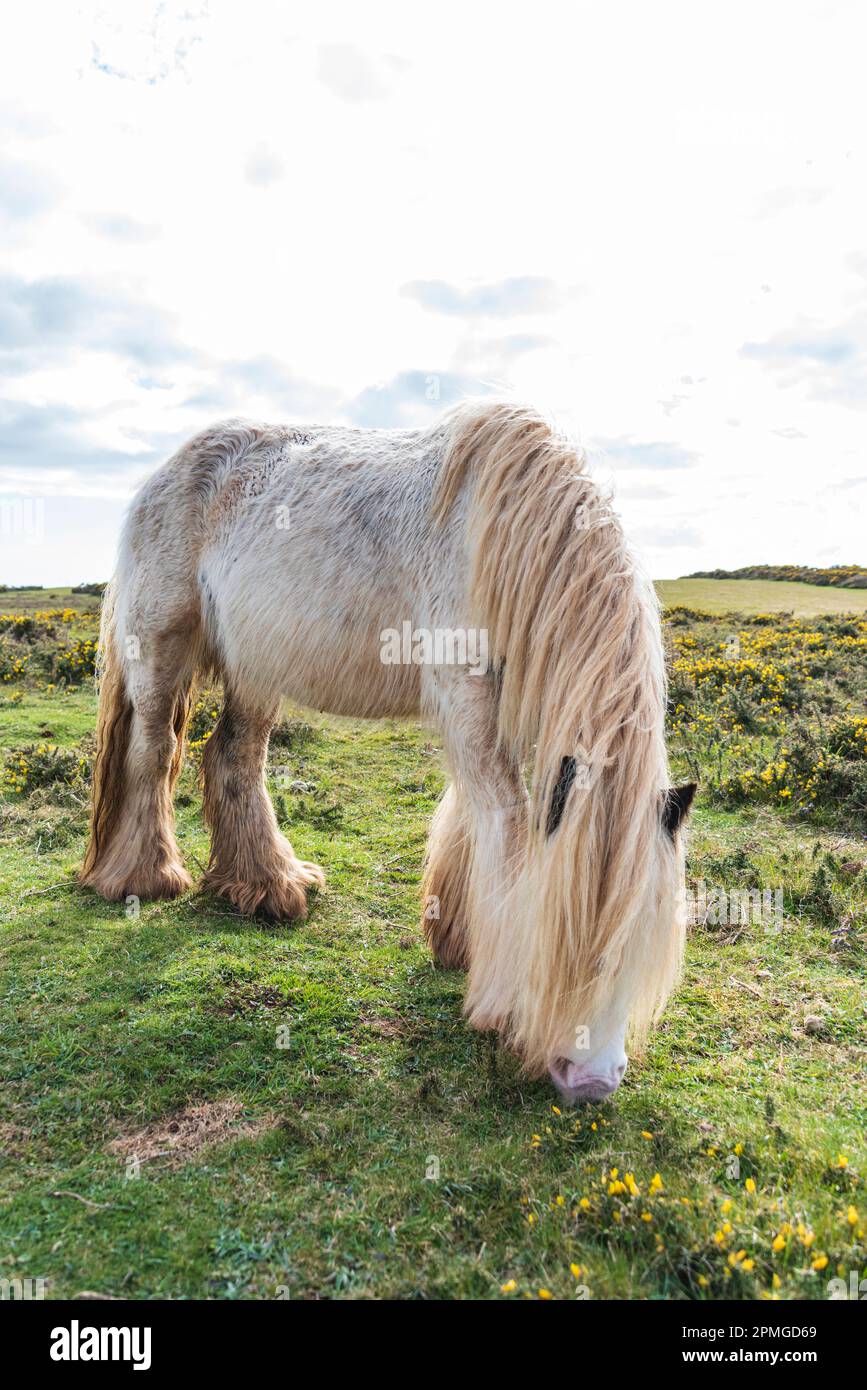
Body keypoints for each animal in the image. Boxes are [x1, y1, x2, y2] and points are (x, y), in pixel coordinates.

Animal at [79, 397, 691, 1100]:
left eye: (647, 941)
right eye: (566, 940)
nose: (591, 1080)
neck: (504, 535)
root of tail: (165, 471)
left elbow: (475, 818)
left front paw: (457, 941)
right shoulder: (468, 699)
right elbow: (506, 826)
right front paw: (503, 1000)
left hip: (256, 669)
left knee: (232, 757)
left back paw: (269, 886)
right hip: (162, 651)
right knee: (152, 756)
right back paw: (146, 878)